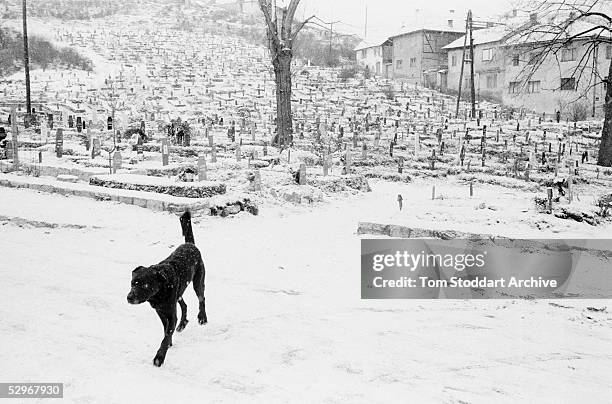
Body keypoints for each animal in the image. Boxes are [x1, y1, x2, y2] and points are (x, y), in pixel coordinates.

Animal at [127, 211, 208, 366]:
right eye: (133, 283)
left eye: (145, 285)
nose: (129, 297)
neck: (158, 294)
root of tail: (189, 244)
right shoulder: (161, 312)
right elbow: (166, 331)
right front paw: (169, 342)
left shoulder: (170, 313)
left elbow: (166, 335)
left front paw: (160, 357)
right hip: (179, 292)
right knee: (184, 305)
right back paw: (182, 324)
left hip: (198, 282)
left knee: (202, 298)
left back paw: (202, 317)